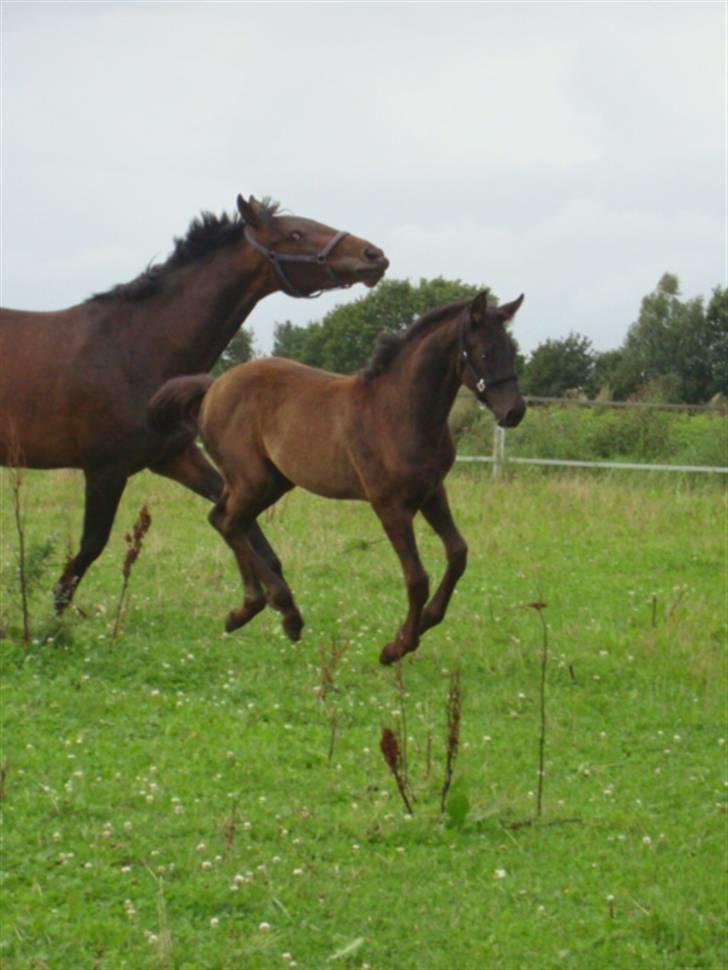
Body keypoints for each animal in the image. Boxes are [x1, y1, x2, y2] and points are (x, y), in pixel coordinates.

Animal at [0, 193, 390, 608]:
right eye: (294, 234)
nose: (373, 255)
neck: (134, 349)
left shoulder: (176, 457)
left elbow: (249, 532)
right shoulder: (105, 468)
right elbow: (89, 549)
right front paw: (52, 617)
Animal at [148, 292, 524, 660]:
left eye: (512, 351)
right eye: (485, 352)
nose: (514, 412)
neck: (399, 412)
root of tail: (214, 386)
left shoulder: (431, 492)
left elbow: (458, 553)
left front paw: (426, 621)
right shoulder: (388, 505)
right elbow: (417, 578)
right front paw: (397, 646)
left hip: (264, 482)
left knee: (222, 518)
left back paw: (254, 610)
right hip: (254, 481)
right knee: (230, 523)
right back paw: (279, 611)